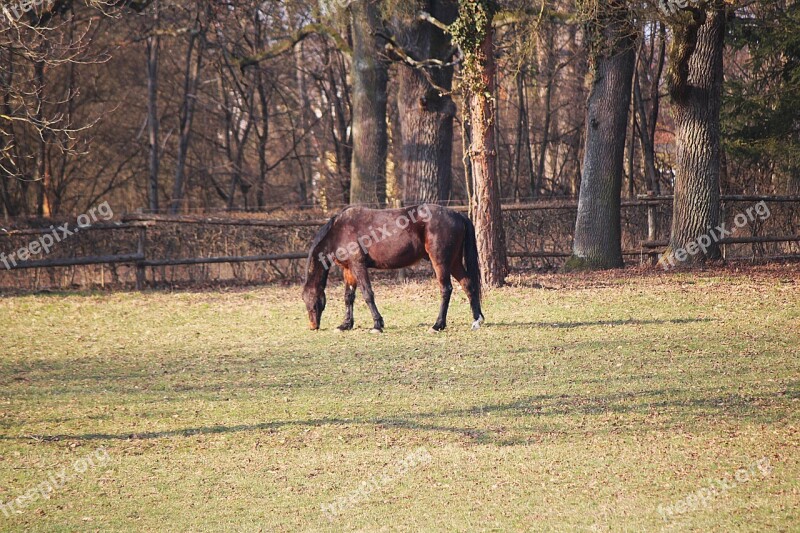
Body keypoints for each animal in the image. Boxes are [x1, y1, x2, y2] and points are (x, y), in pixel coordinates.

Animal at [304, 204, 484, 332]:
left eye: (310, 300)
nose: (313, 326)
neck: (339, 230)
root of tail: (458, 215)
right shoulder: (348, 269)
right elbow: (348, 297)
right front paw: (345, 325)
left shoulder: (358, 265)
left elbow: (367, 294)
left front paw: (377, 324)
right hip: (454, 262)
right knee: (468, 284)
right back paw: (477, 320)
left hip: (441, 262)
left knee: (446, 289)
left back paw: (437, 325)